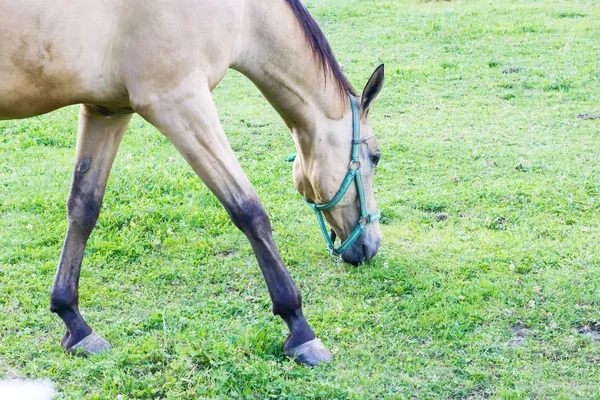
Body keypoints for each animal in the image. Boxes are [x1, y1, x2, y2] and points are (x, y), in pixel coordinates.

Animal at [0, 0, 384, 368]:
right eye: (376, 157)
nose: (372, 245)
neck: (245, 12)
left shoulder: (107, 109)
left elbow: (83, 209)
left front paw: (75, 323)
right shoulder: (178, 102)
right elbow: (248, 210)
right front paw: (300, 328)